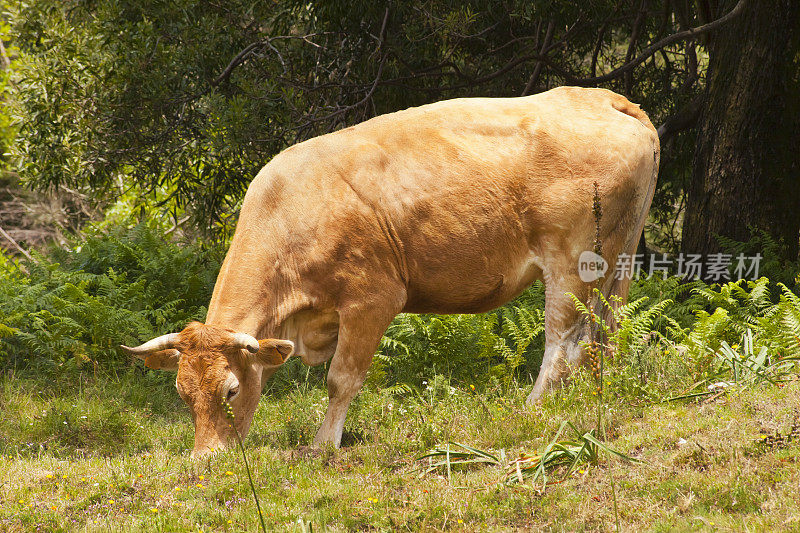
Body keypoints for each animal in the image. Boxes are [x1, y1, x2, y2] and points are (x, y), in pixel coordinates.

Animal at [119, 85, 656, 456]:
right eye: (182, 392)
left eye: (230, 390)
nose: (205, 460)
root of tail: (603, 98)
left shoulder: (372, 300)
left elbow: (341, 379)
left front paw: (323, 444)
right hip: (618, 263)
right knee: (606, 334)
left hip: (571, 265)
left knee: (563, 343)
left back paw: (531, 410)